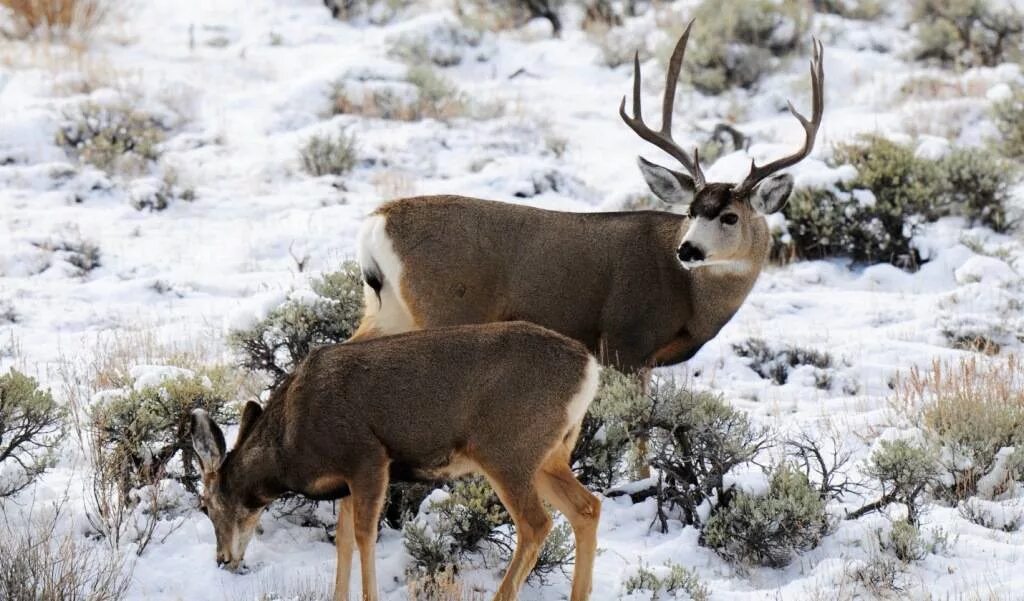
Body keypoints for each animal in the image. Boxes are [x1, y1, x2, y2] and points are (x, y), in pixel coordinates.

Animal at [192, 321, 598, 601]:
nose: (222, 559)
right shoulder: (345, 482)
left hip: (507, 451)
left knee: (537, 524)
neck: (291, 444)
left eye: (206, 506)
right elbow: (343, 540)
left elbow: (364, 536)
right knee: (587, 507)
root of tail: (590, 369)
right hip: (548, 456)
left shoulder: (368, 457)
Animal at [352, 23, 823, 374]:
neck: (692, 300)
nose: (687, 249)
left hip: (385, 310)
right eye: (691, 211)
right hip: (444, 307)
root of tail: (377, 221)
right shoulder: (625, 340)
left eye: (728, 216)